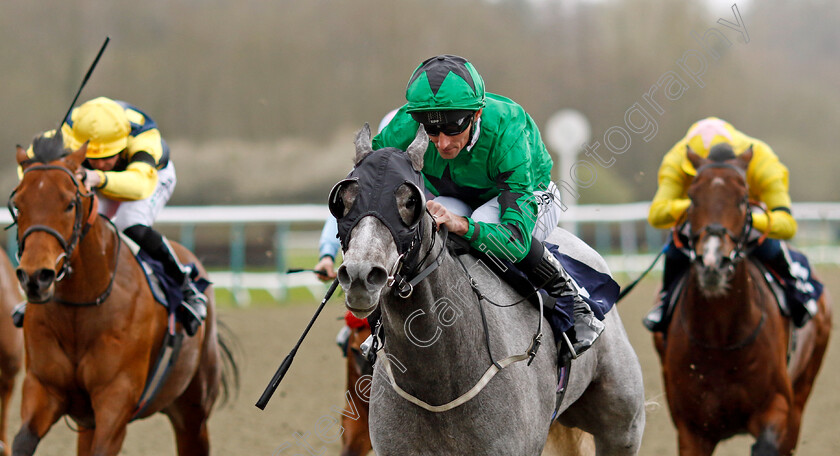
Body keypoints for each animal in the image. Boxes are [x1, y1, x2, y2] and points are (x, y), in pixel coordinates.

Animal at [9, 136, 238, 456]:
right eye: (18, 205)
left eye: (69, 203)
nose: (35, 277)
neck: (81, 308)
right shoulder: (44, 388)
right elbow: (23, 440)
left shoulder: (116, 398)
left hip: (193, 409)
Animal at [328, 124, 644, 456]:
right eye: (343, 201)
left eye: (410, 201)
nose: (360, 275)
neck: (438, 385)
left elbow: (514, 232)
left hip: (623, 426)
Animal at [656, 148, 832, 454]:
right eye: (692, 198)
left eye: (742, 199)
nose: (712, 262)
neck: (720, 341)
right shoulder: (691, 429)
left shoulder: (777, 408)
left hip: (804, 387)